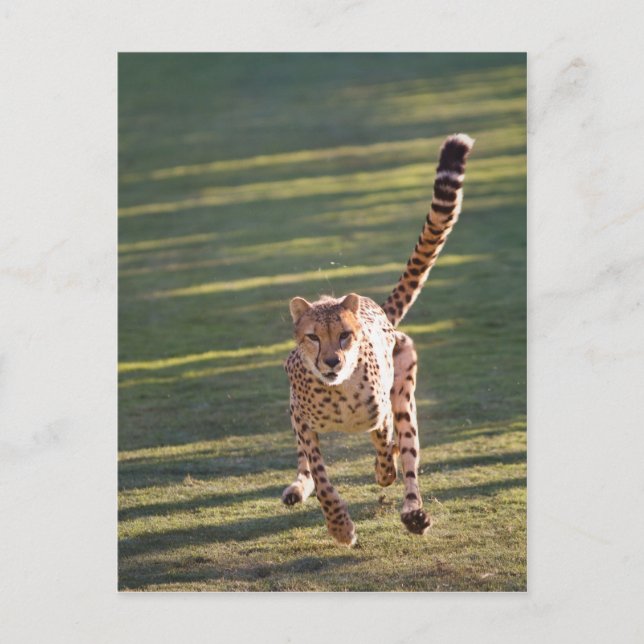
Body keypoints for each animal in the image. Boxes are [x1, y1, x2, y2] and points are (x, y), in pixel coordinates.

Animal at [282, 133, 474, 546]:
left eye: (344, 336)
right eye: (313, 337)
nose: (332, 362)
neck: (336, 392)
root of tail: (377, 310)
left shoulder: (382, 412)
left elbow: (386, 444)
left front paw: (383, 472)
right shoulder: (303, 422)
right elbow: (320, 475)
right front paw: (340, 527)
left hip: (404, 397)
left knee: (408, 459)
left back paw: (413, 512)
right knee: (305, 464)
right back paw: (298, 487)